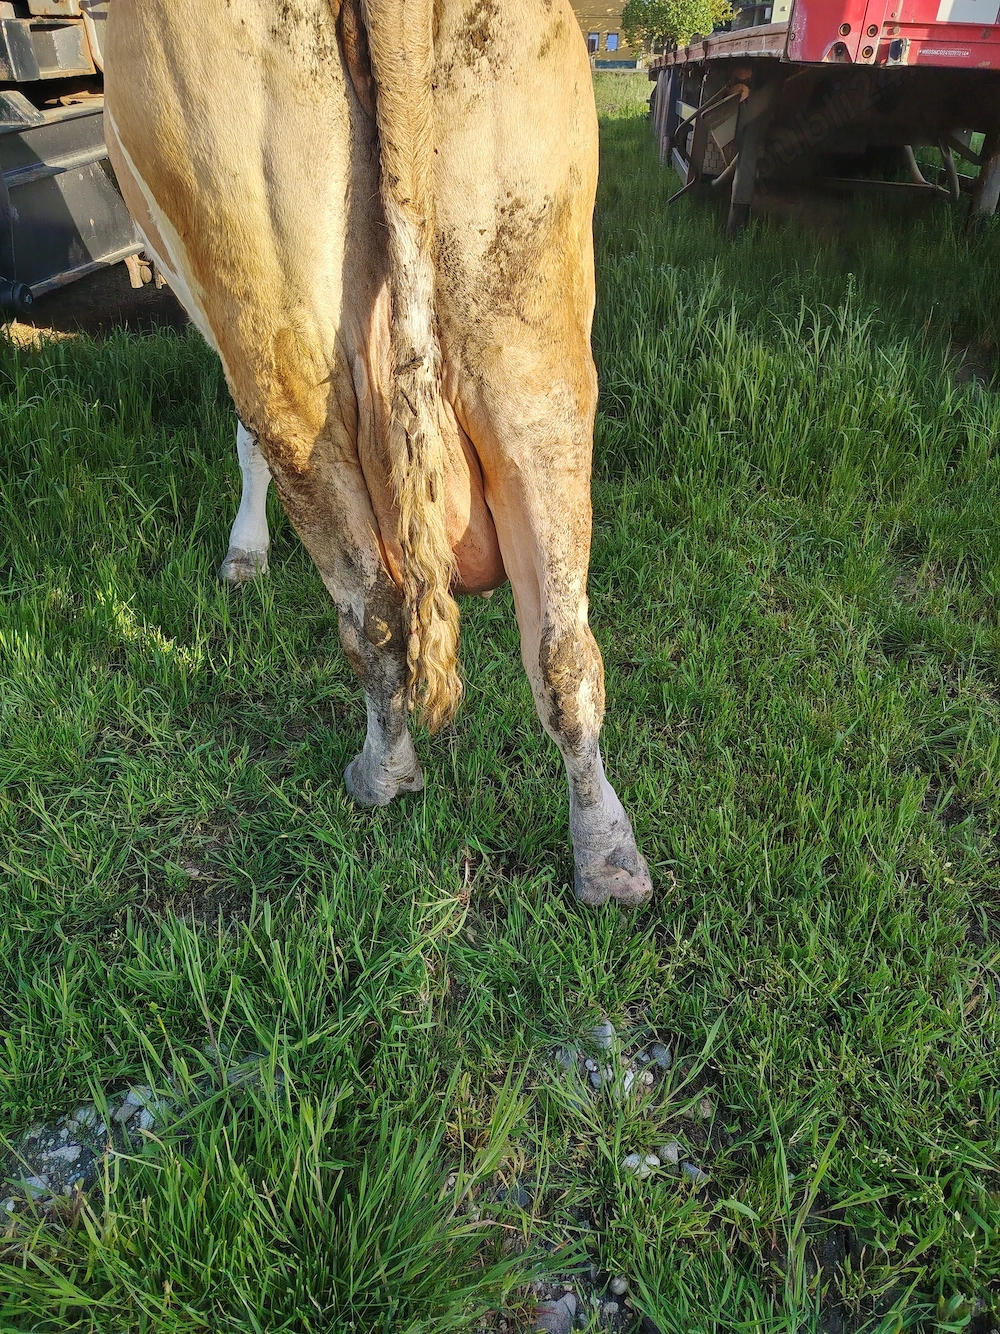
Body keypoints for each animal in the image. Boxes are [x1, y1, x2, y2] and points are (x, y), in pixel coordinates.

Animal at [104, 0, 652, 907]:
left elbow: (242, 441)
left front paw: (244, 556)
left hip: (271, 317)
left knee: (376, 611)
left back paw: (382, 775)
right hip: (532, 329)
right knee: (564, 646)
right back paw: (607, 858)